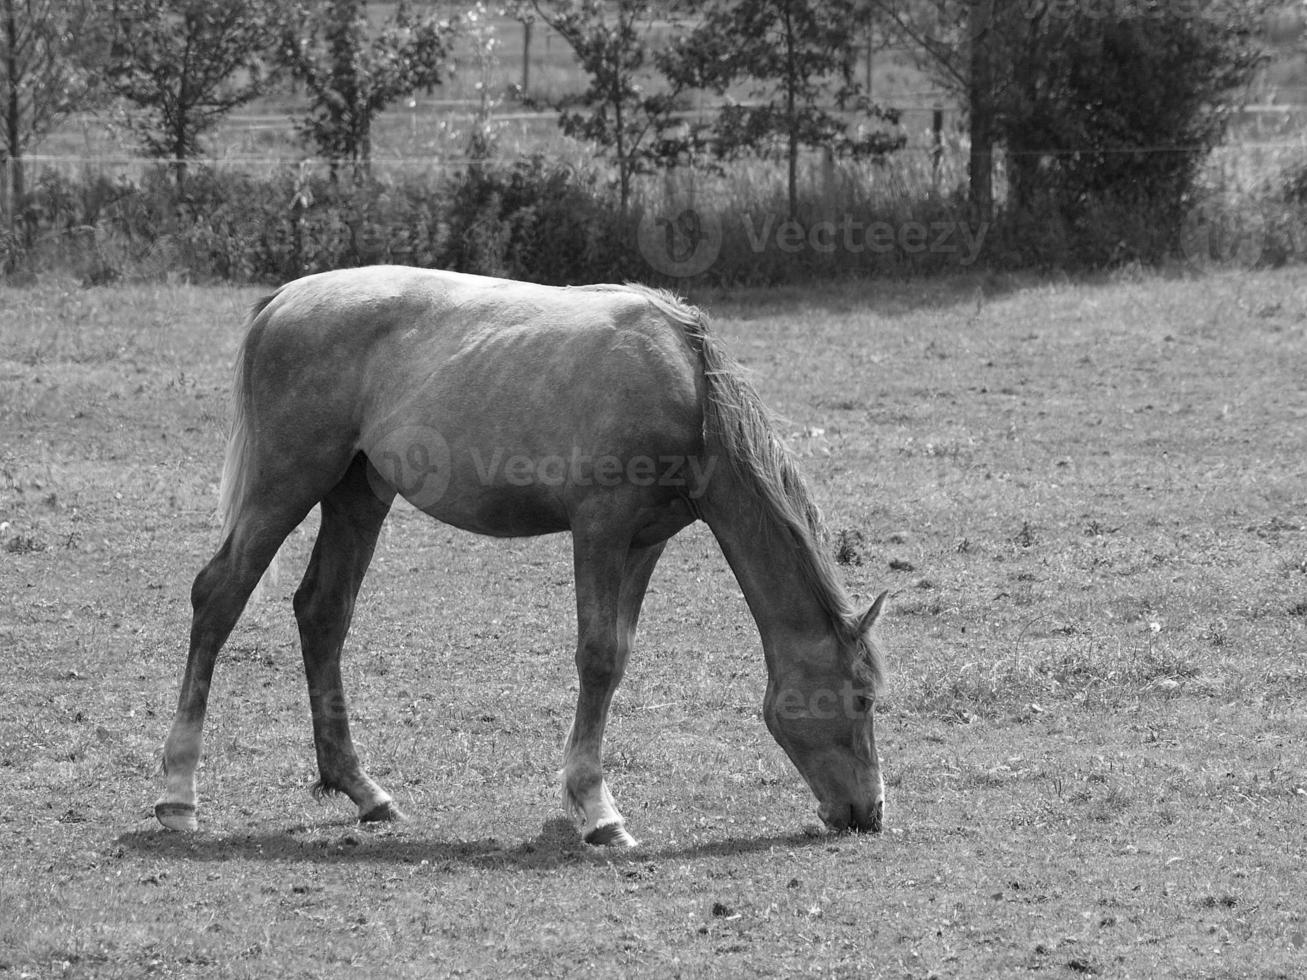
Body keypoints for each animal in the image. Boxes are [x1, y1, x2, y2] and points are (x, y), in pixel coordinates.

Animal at [155, 266, 888, 846]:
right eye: (859, 698)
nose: (869, 813)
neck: (684, 386)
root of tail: (283, 299)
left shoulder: (645, 540)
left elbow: (617, 656)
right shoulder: (600, 527)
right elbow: (598, 657)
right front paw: (598, 811)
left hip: (357, 493)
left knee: (322, 612)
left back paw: (363, 790)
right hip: (287, 483)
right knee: (218, 596)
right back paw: (177, 794)